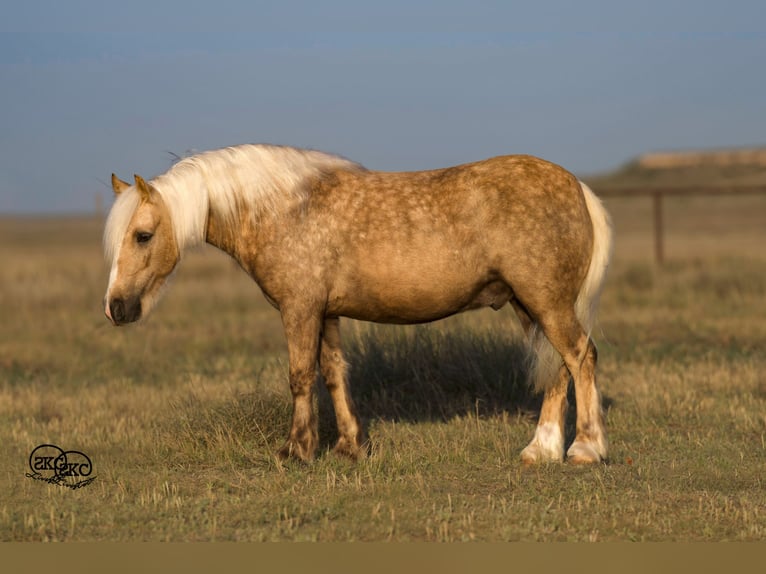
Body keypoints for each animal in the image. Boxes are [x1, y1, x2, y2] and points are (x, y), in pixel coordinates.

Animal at [105, 143, 616, 464]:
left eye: (143, 235)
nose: (116, 308)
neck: (285, 210)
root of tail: (577, 187)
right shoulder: (327, 312)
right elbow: (334, 373)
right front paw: (350, 447)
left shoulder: (300, 309)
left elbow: (300, 376)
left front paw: (296, 450)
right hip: (531, 307)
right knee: (557, 368)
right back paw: (540, 451)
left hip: (546, 303)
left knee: (579, 356)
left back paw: (585, 450)